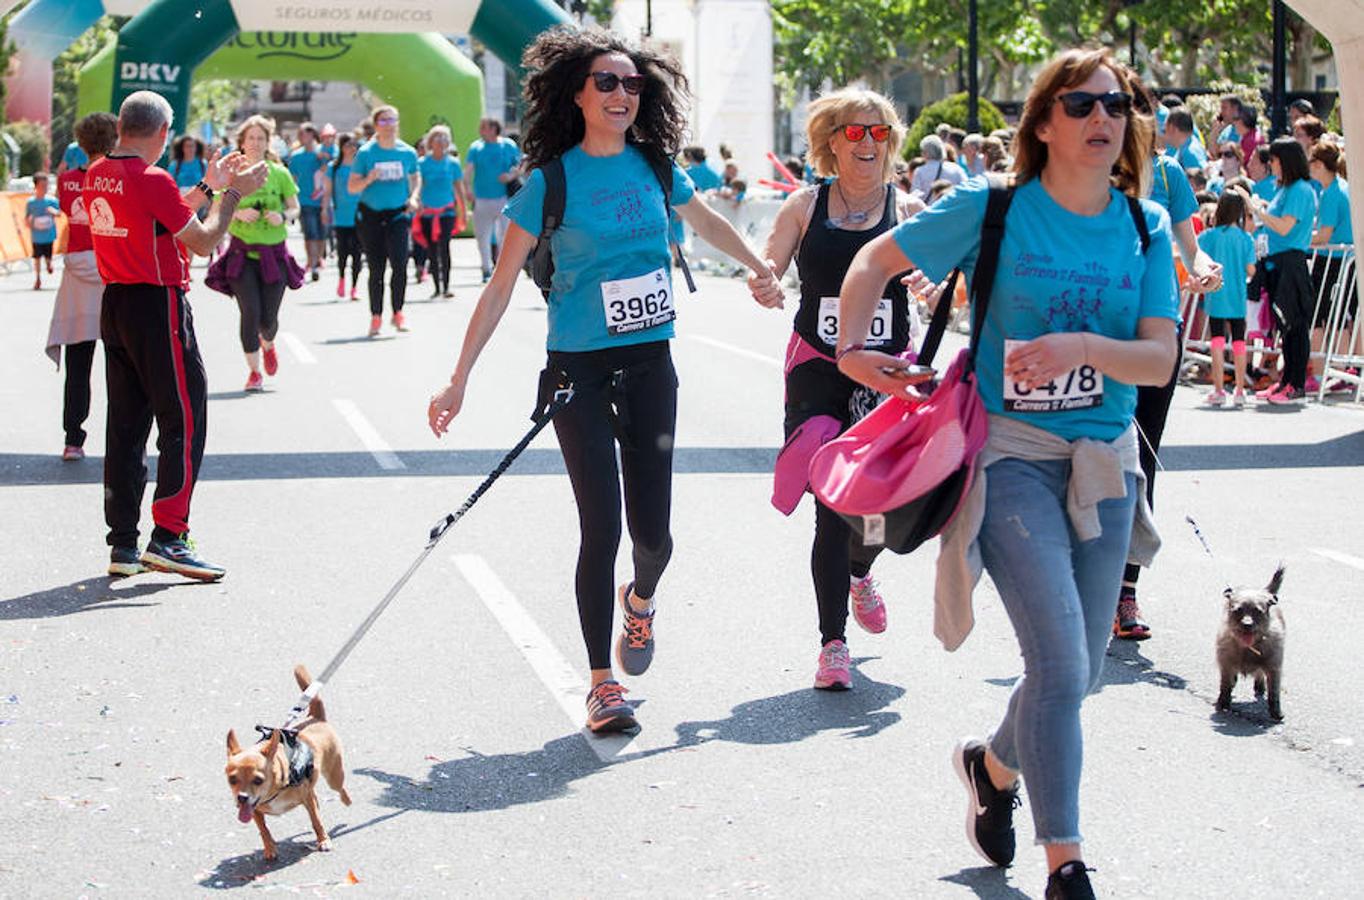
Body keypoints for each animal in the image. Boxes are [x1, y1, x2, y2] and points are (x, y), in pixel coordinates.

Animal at [223, 665, 351, 861]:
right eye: (232, 780)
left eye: (258, 780)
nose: (242, 797)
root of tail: (315, 717)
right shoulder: (255, 811)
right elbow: (263, 829)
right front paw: (269, 848)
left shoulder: (307, 798)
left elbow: (316, 821)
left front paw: (323, 841)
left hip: (334, 776)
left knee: (340, 788)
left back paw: (346, 800)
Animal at [1216, 567, 1287, 720]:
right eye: (1237, 610)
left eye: (1258, 611)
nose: (1247, 624)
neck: (1248, 647)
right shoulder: (1226, 665)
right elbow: (1225, 686)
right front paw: (1223, 703)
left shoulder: (1274, 668)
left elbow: (1274, 692)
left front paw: (1276, 712)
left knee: (1259, 674)